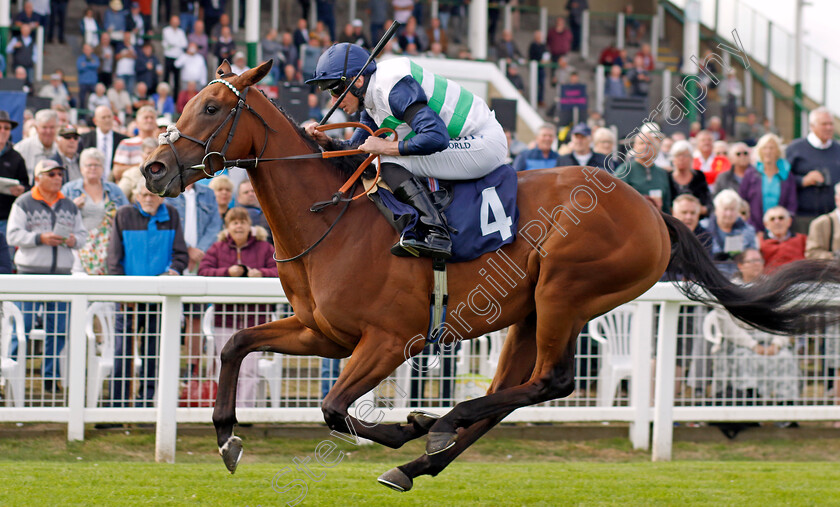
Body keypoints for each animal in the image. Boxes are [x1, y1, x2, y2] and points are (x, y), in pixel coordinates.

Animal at [141, 59, 840, 492]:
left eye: (211, 107)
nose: (152, 169)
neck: (331, 219)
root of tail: (651, 209)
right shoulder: (322, 331)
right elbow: (236, 343)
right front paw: (227, 438)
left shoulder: (386, 341)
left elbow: (334, 407)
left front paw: (405, 425)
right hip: (531, 312)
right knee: (515, 391)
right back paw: (423, 461)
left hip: (565, 290)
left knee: (551, 381)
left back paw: (438, 424)